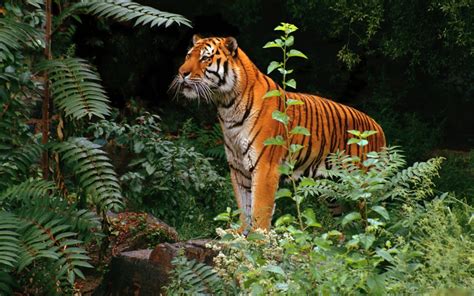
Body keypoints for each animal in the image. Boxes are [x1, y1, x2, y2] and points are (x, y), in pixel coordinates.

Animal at [170, 35, 386, 231]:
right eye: (188, 56)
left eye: (205, 58)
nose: (181, 73)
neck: (227, 105)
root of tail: (378, 127)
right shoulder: (238, 168)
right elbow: (244, 206)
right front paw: (240, 235)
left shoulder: (265, 166)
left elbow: (259, 209)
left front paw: (258, 241)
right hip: (331, 189)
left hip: (363, 186)